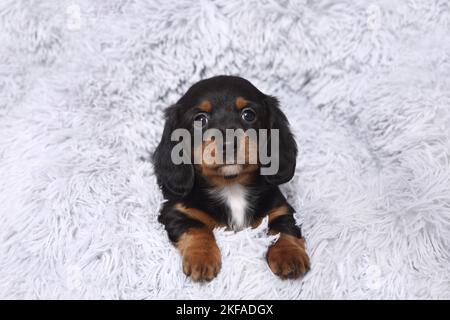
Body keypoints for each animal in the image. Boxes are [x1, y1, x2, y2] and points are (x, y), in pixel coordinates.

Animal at [154, 76, 310, 282]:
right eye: (200, 119)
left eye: (248, 114)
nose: (228, 144)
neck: (231, 185)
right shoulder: (176, 210)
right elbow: (196, 228)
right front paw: (201, 257)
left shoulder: (279, 208)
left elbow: (283, 227)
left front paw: (289, 254)